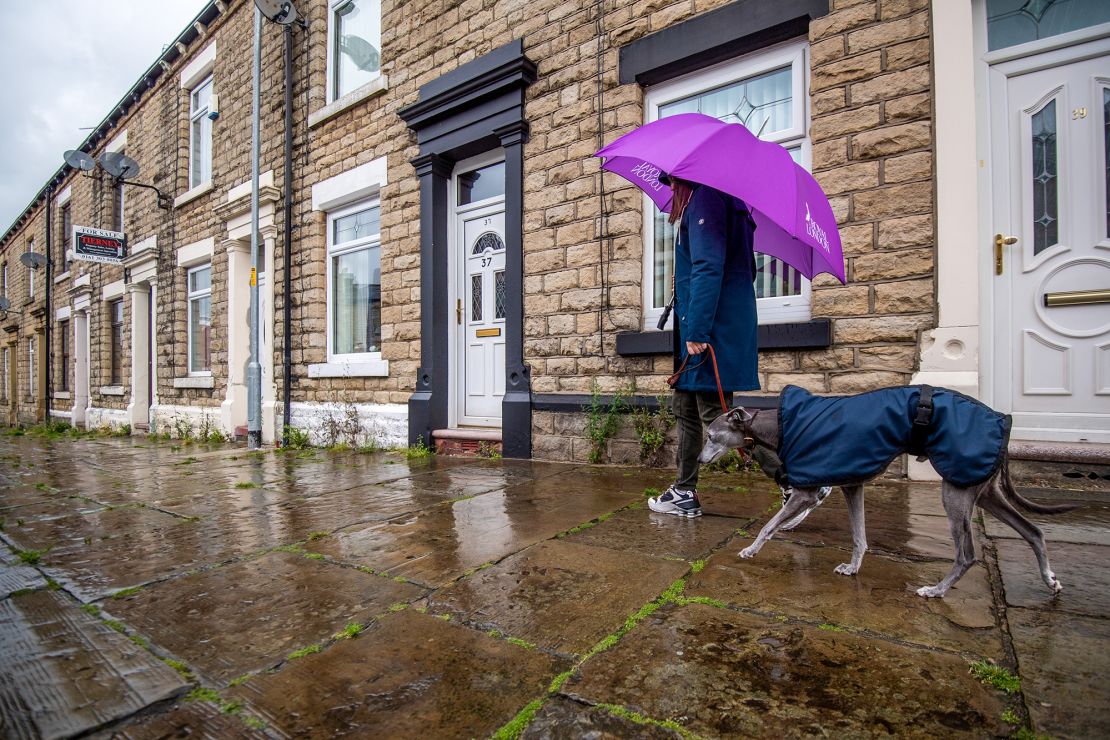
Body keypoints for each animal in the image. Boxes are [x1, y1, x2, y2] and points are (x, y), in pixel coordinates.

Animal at [701, 401, 1074, 599]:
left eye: (710, 435)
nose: (700, 461)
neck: (777, 423)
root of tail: (1004, 425)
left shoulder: (806, 492)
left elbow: (769, 524)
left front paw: (750, 549)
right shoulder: (852, 486)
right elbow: (859, 536)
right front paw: (852, 568)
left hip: (956, 493)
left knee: (967, 555)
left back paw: (936, 590)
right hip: (984, 492)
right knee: (1033, 531)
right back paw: (1050, 579)